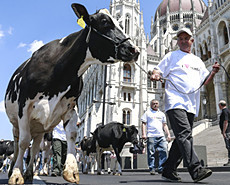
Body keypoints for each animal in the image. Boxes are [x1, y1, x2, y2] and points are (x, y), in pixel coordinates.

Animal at [4, 3, 139, 185]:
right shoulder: (23, 109)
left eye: (121, 24)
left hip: (39, 128)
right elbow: (24, 142)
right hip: (17, 124)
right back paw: (14, 169)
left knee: (35, 149)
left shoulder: (69, 108)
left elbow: (72, 134)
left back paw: (30, 174)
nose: (134, 50)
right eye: (105, 22)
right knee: (20, 144)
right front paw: (17, 175)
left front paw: (71, 171)